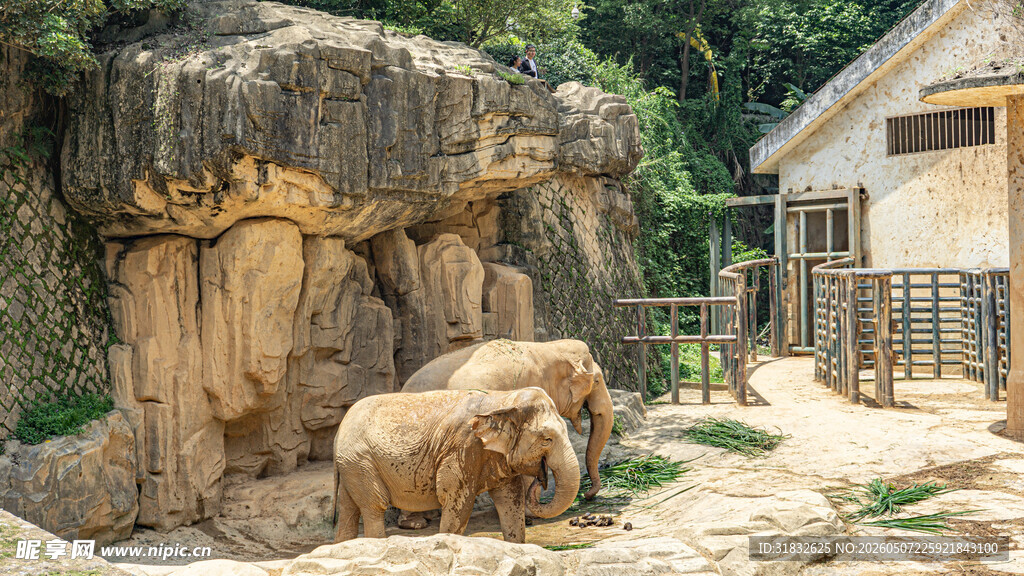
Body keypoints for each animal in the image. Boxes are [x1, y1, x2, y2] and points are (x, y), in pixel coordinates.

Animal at [332, 387, 580, 543]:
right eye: (547, 439)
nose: (541, 481)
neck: (503, 399)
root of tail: (339, 431)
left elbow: (511, 499)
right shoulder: (462, 447)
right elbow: (457, 501)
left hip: (351, 464)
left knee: (348, 508)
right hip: (360, 460)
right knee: (374, 506)